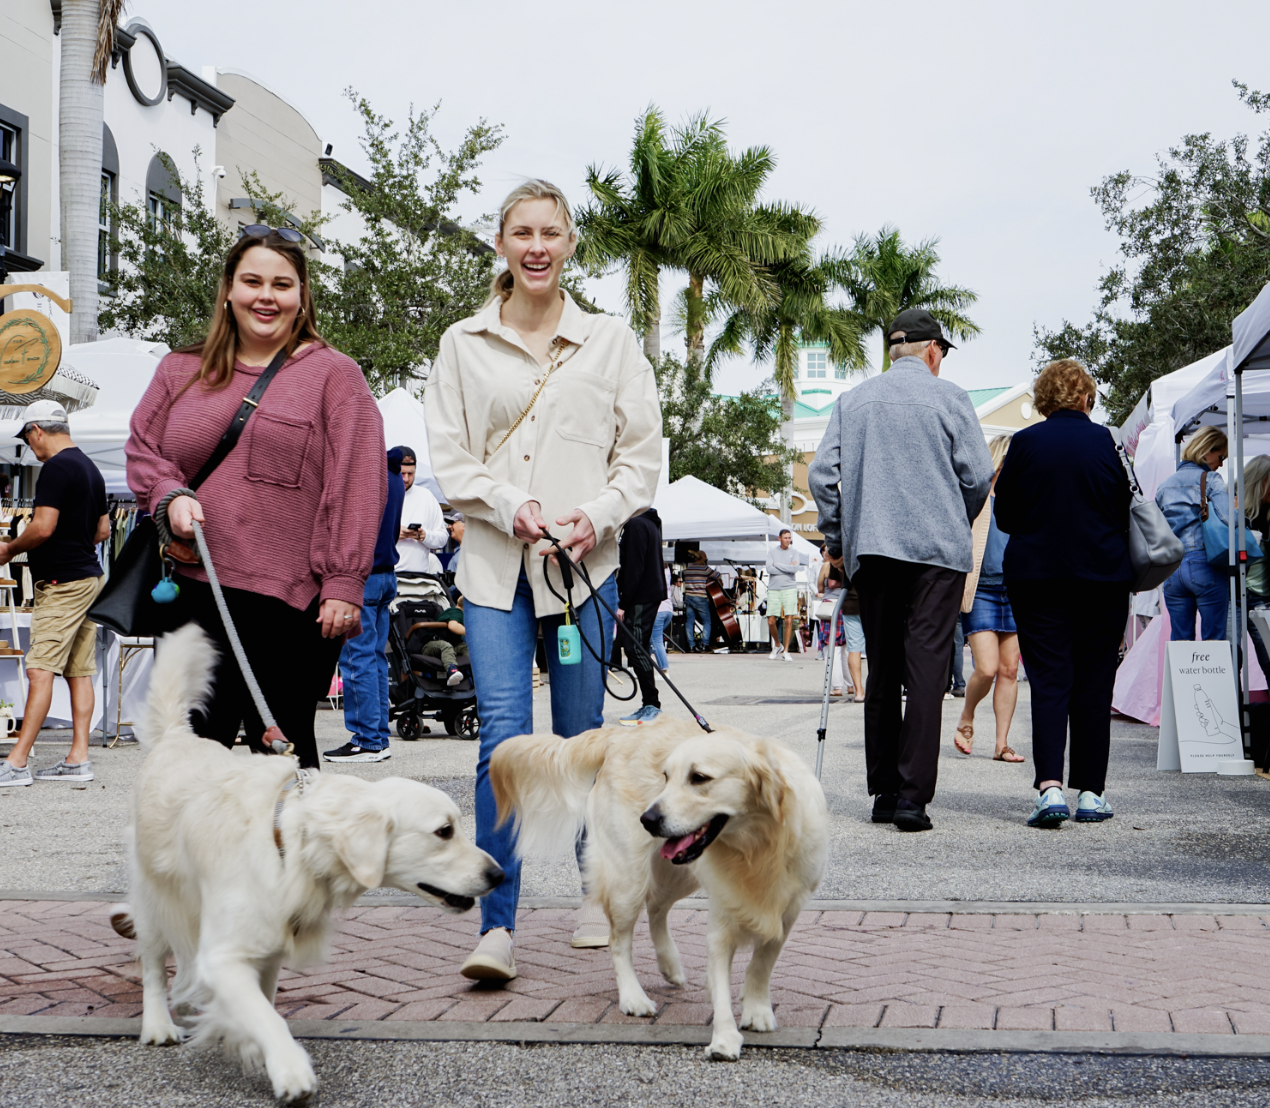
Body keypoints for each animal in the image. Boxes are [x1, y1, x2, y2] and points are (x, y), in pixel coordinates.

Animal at [122, 622, 500, 1097]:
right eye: (444, 831)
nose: (498, 874)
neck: (289, 842)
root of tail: (176, 736)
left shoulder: (267, 948)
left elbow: (263, 1006)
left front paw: (255, 1048)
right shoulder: (223, 954)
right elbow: (265, 1016)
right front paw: (289, 1068)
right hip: (154, 895)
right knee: (153, 964)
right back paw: (157, 1025)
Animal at [490, 721, 828, 1062]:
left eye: (699, 778)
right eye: (665, 777)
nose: (647, 819)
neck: (758, 845)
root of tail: (618, 735)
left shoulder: (788, 910)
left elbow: (763, 963)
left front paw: (757, 1009)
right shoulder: (723, 911)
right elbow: (720, 981)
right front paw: (724, 1037)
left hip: (679, 872)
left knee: (656, 908)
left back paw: (670, 964)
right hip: (629, 878)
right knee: (619, 939)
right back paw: (633, 997)